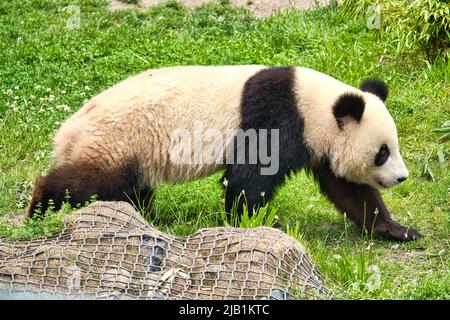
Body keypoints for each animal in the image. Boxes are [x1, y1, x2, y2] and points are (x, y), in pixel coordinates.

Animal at [26, 66, 422, 241]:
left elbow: (348, 190)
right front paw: (252, 221)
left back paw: (145, 217)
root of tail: (67, 130)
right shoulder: (277, 117)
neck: (315, 106)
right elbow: (250, 177)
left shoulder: (319, 143)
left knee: (128, 190)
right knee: (90, 180)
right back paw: (39, 206)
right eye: (382, 152)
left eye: (393, 147)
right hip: (119, 139)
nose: (402, 177)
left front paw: (397, 230)